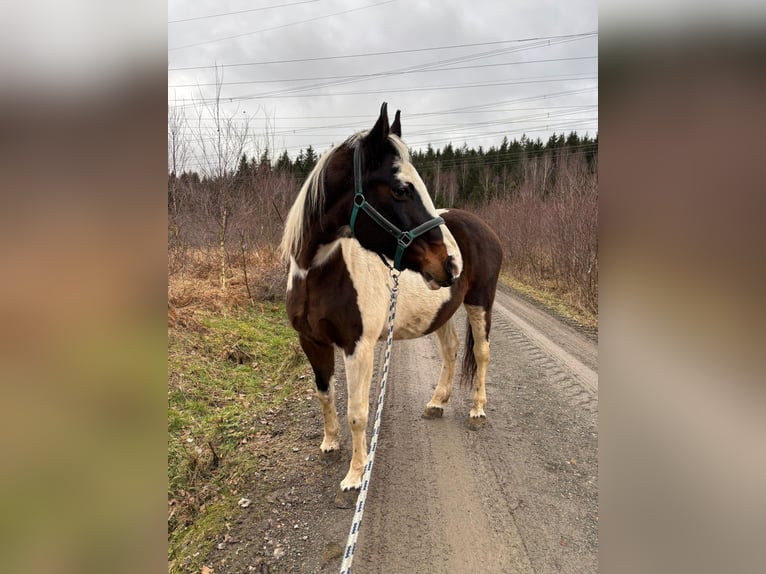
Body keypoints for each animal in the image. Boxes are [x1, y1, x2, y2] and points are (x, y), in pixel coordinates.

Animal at [282, 103, 504, 490]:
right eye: (401, 189)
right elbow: (325, 393)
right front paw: (330, 443)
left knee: (481, 352)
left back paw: (477, 409)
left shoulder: (359, 347)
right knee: (451, 349)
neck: (317, 273)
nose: (451, 262)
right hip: (442, 310)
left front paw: (355, 476)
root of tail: (482, 227)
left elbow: (358, 413)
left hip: (480, 303)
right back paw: (437, 402)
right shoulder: (311, 341)